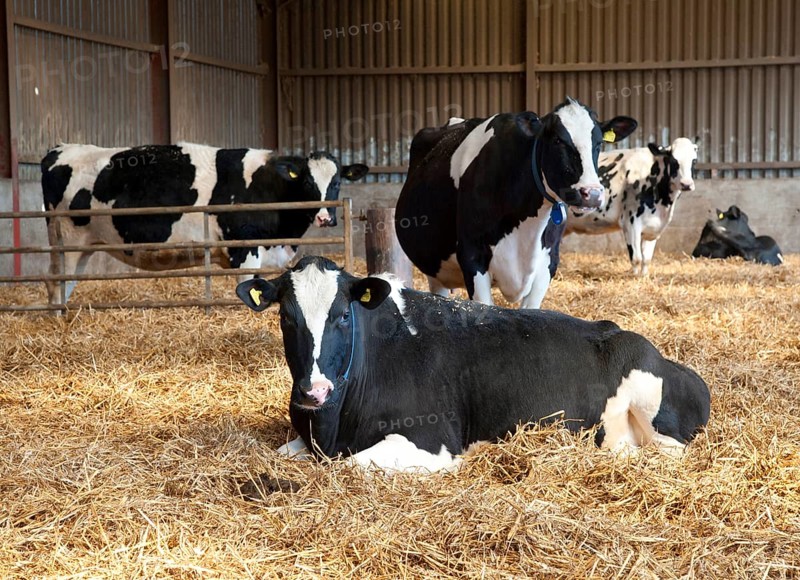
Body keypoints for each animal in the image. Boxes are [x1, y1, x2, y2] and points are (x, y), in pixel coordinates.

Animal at [40, 142, 369, 304]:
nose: (326, 217)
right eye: (308, 182)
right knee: (56, 283)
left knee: (64, 284)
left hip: (83, 246)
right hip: (67, 241)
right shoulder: (244, 250)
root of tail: (60, 149)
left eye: (337, 182)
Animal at [236, 256, 711, 473]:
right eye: (285, 316)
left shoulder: (431, 441)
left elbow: (350, 464)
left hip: (652, 412)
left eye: (343, 315)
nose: (314, 392)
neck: (331, 428)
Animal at [395, 97, 638, 309]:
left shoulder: (548, 262)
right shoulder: (472, 257)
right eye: (558, 140)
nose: (592, 194)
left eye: (598, 143)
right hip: (434, 266)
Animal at [564, 138, 698, 275]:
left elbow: (646, 259)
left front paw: (644, 276)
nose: (686, 184)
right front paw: (635, 277)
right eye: (673, 160)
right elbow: (636, 258)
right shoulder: (630, 222)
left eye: (694, 160)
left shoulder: (653, 228)